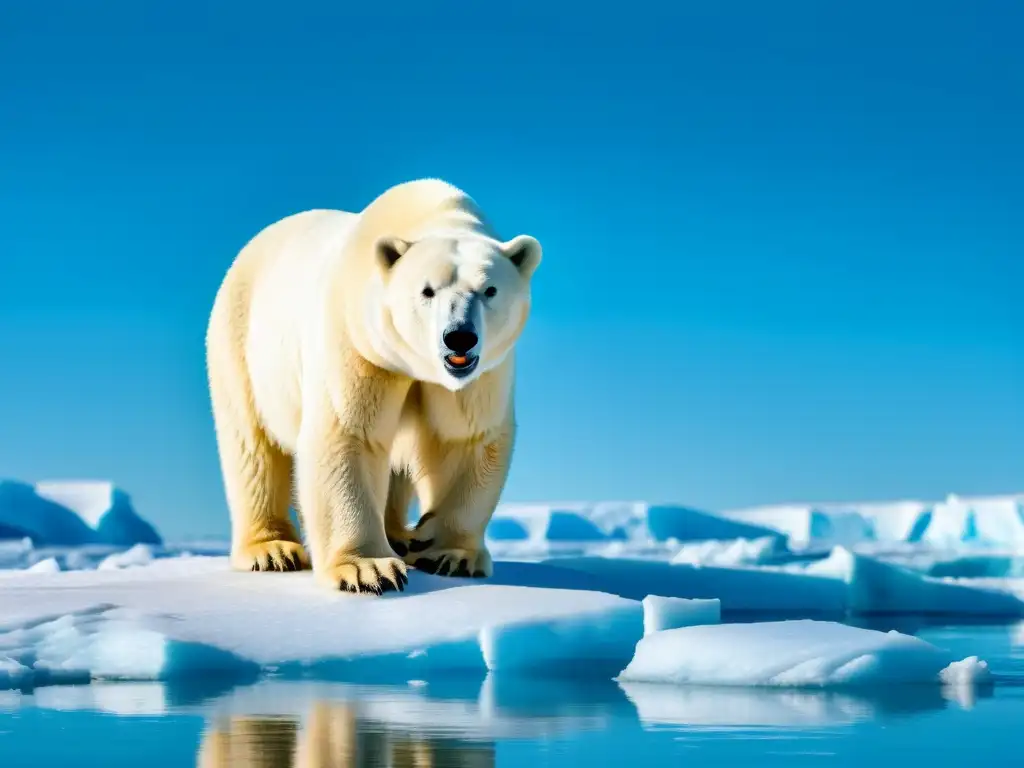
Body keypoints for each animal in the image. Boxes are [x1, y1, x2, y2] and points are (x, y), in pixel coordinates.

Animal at [206, 180, 544, 593]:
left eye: (490, 290)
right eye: (427, 291)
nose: (459, 338)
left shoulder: (480, 375)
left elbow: (465, 438)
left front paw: (450, 554)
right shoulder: (359, 343)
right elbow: (350, 434)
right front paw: (368, 569)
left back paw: (401, 536)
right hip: (241, 347)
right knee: (251, 446)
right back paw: (272, 550)